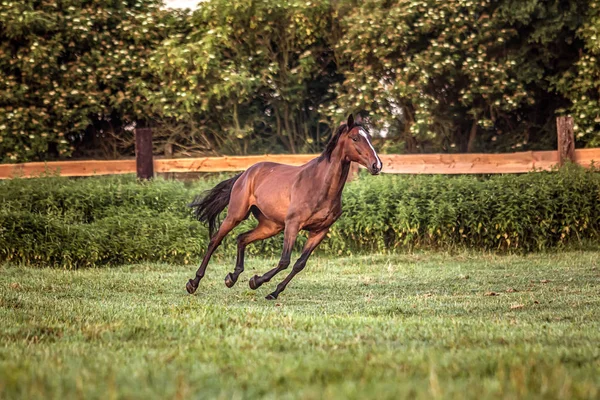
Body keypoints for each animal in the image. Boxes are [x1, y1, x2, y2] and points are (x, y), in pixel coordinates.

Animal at [185, 114, 382, 298]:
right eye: (355, 138)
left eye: (369, 138)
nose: (377, 165)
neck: (320, 185)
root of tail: (245, 173)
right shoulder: (293, 224)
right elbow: (284, 261)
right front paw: (256, 281)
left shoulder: (320, 231)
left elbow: (299, 264)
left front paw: (272, 291)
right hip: (236, 215)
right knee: (215, 241)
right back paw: (193, 283)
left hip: (271, 226)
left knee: (242, 238)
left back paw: (231, 278)